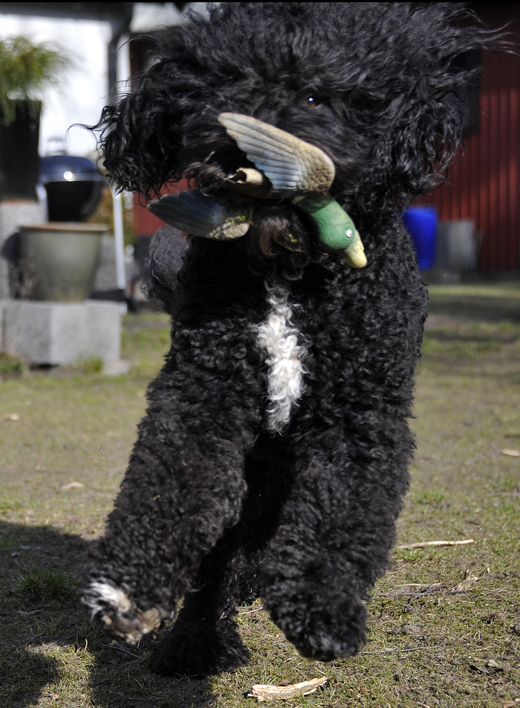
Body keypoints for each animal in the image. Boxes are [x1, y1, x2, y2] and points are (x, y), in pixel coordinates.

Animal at [81, 0, 504, 676]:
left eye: (313, 95)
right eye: (222, 92)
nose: (244, 154)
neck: (286, 264)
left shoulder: (361, 409)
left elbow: (338, 510)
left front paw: (320, 607)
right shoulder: (205, 388)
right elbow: (169, 479)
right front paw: (130, 587)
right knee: (215, 563)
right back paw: (195, 641)